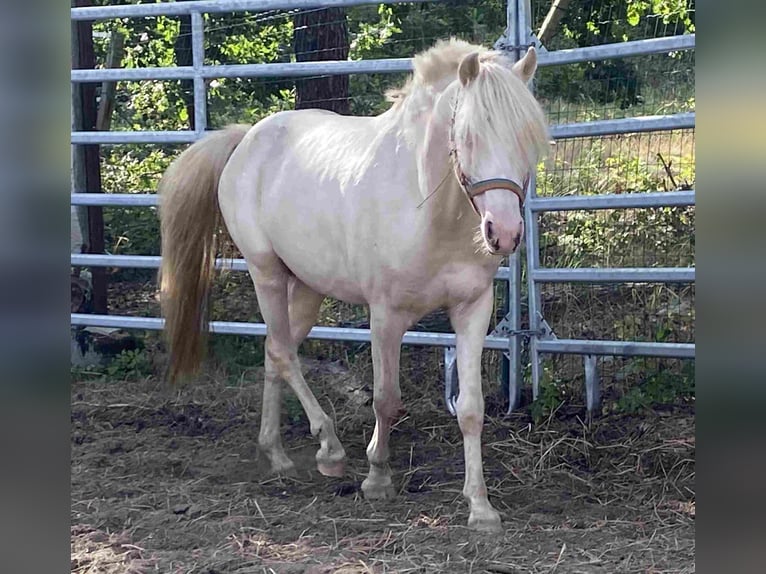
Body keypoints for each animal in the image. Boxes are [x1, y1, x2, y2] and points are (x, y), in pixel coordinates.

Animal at [158, 38, 550, 532]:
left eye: (526, 138)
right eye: (469, 136)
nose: (505, 233)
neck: (427, 208)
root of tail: (246, 139)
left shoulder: (472, 311)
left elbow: (471, 408)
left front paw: (480, 507)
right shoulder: (385, 315)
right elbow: (385, 398)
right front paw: (377, 478)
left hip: (305, 288)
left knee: (273, 351)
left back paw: (277, 453)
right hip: (267, 274)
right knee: (284, 353)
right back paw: (329, 449)